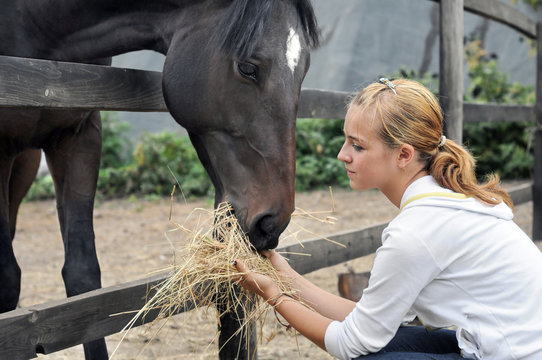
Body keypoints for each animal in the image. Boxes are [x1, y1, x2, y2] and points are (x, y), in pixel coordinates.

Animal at [0, 0, 320, 358]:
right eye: (248, 68)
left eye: (303, 72)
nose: (272, 223)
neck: (37, 26)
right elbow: (8, 278)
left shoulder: (80, 136)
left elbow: (83, 278)